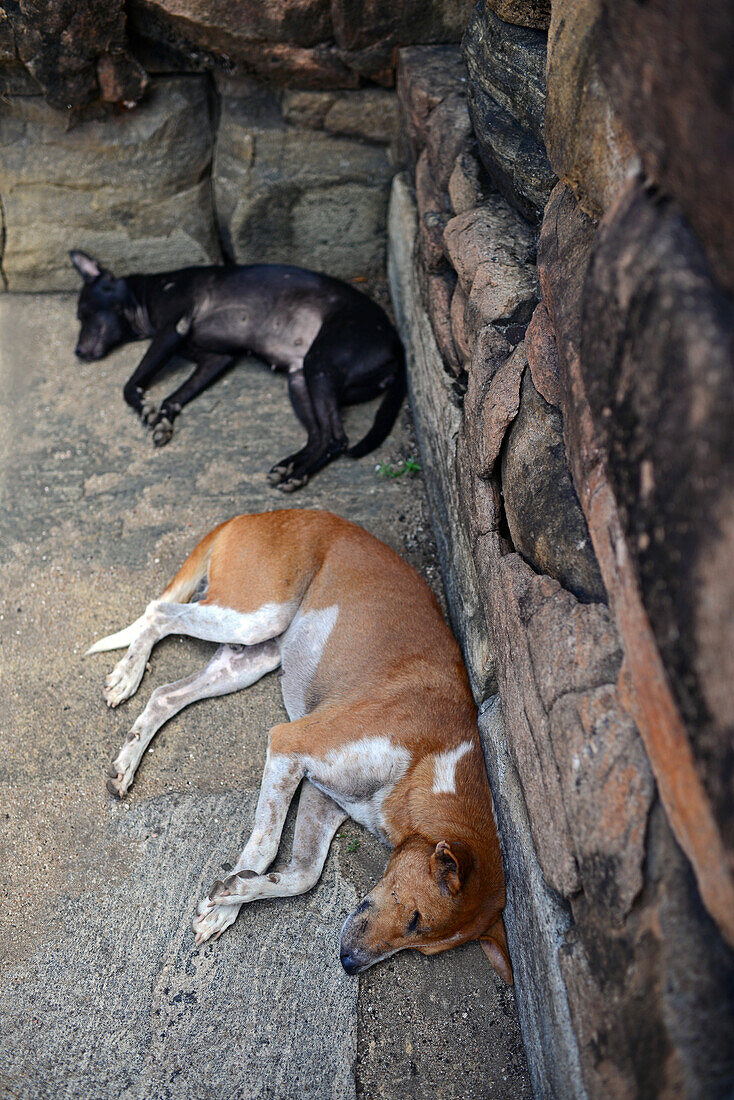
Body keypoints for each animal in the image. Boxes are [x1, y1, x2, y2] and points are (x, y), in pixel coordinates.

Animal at [69, 253, 407, 495]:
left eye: (83, 312)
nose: (77, 352)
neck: (149, 291)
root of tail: (397, 341)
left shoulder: (171, 331)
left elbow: (130, 386)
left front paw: (145, 410)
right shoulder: (216, 360)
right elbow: (173, 398)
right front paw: (162, 420)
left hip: (319, 366)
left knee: (336, 439)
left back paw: (298, 475)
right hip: (300, 380)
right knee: (318, 436)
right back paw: (288, 466)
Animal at [89, 506, 515, 981]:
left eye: (424, 948)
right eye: (415, 918)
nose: (349, 964)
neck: (436, 764)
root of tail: (264, 513)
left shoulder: (322, 795)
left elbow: (303, 875)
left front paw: (235, 891)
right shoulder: (289, 744)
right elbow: (265, 844)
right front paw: (224, 906)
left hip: (250, 657)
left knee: (165, 692)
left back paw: (126, 759)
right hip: (254, 615)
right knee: (159, 612)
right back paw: (127, 674)